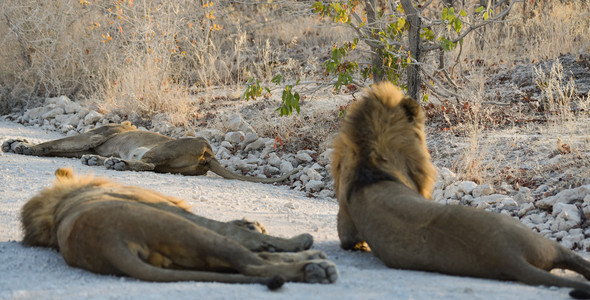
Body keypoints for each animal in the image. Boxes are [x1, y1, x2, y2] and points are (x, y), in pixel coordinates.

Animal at [20, 168, 338, 290]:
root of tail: (107, 243)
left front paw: (254, 225)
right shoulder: (177, 210)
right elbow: (232, 229)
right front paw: (293, 239)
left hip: (184, 253)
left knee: (246, 263)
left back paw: (313, 262)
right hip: (184, 228)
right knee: (253, 264)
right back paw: (315, 268)